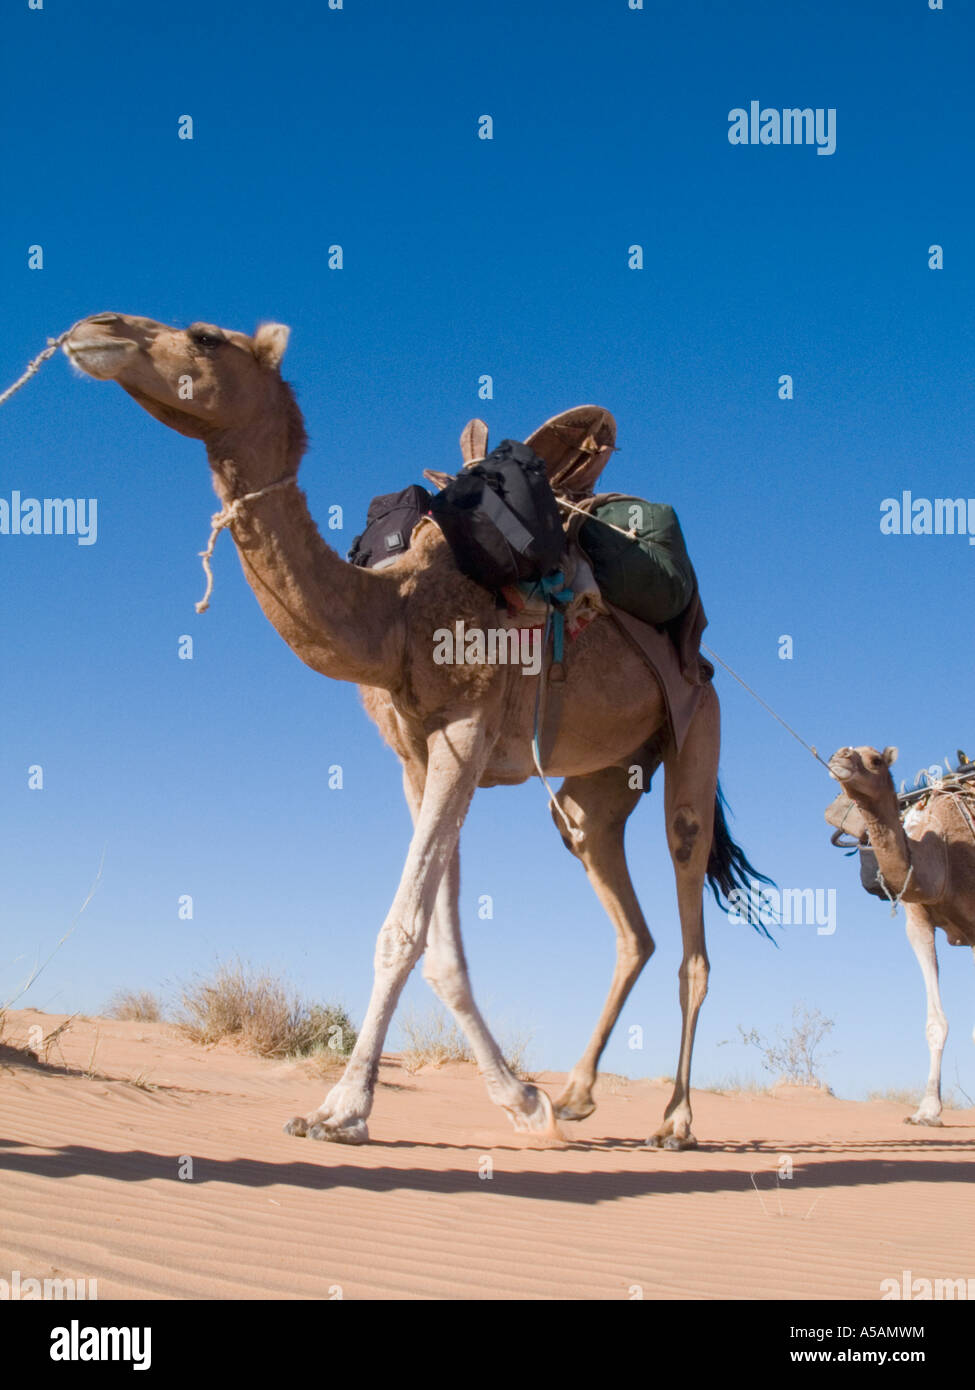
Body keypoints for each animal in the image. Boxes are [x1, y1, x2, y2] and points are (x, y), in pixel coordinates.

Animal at [64, 315, 767, 1150]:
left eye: (204, 336)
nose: (92, 330)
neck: (394, 613)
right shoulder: (416, 754)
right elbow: (440, 947)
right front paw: (521, 1100)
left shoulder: (465, 729)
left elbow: (401, 931)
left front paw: (339, 1109)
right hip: (600, 784)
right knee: (624, 909)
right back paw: (575, 1096)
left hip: (697, 730)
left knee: (690, 907)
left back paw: (676, 1120)